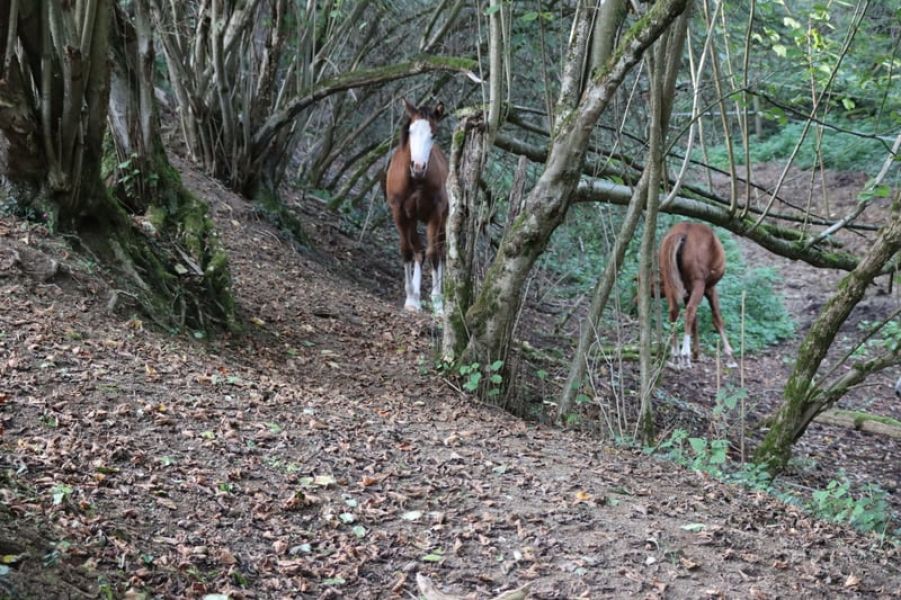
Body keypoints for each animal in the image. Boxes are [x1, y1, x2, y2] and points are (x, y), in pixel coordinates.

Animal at [384, 98, 448, 314]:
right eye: (410, 131)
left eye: (433, 134)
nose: (418, 167)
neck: (416, 181)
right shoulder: (399, 213)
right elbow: (407, 251)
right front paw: (411, 298)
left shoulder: (436, 214)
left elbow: (434, 253)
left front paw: (437, 303)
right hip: (411, 219)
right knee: (418, 252)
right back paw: (416, 296)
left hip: (444, 220)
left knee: (440, 252)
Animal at [658, 222, 737, 369]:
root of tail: (684, 231)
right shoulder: (710, 288)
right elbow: (717, 318)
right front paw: (729, 355)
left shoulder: (687, 291)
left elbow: (695, 320)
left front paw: (696, 353)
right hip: (699, 283)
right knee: (689, 311)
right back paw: (684, 354)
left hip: (669, 281)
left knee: (674, 312)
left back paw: (675, 355)